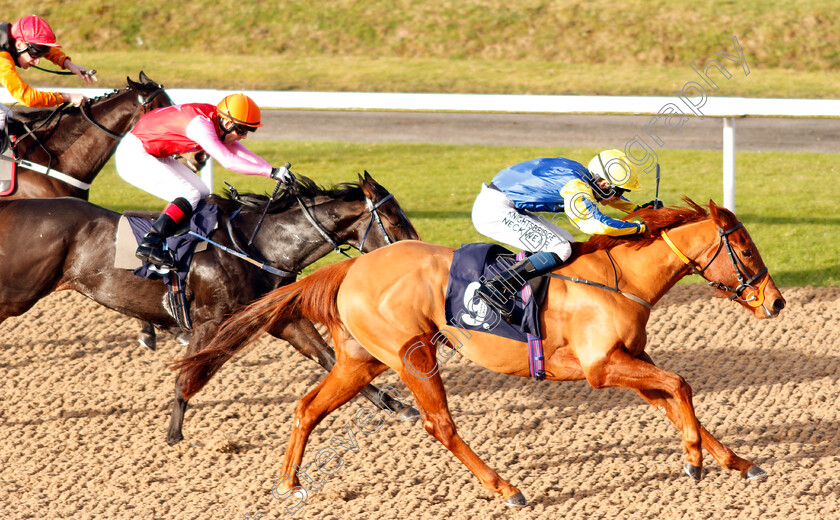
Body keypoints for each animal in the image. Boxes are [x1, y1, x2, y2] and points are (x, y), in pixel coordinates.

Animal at [0, 173, 420, 444]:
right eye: (394, 218)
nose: (417, 250)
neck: (259, 247)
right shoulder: (209, 319)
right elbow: (187, 377)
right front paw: (174, 436)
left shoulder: (282, 319)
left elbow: (331, 360)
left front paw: (397, 405)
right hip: (19, 291)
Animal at [177, 200, 788, 508]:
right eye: (745, 245)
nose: (776, 301)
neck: (619, 278)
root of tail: (352, 265)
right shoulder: (600, 368)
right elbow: (682, 385)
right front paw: (695, 463)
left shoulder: (627, 362)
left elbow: (676, 400)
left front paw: (735, 462)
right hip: (413, 352)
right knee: (439, 425)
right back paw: (507, 489)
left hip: (360, 360)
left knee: (307, 407)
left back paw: (290, 483)